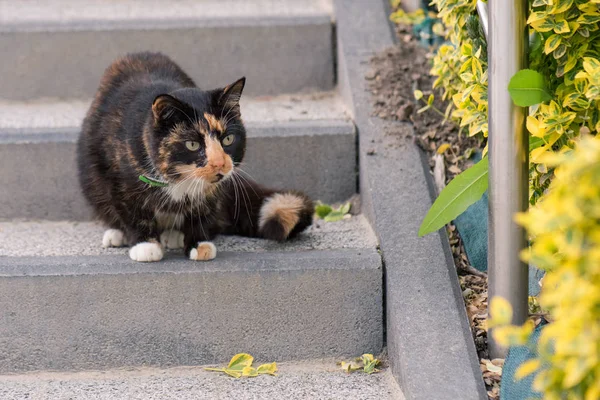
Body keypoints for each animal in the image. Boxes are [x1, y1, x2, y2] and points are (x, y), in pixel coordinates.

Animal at [78, 51, 314, 262]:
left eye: (228, 139)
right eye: (192, 144)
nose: (219, 163)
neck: (178, 178)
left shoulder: (214, 191)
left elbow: (202, 212)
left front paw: (198, 244)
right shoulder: (118, 180)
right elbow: (132, 211)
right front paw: (145, 246)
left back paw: (173, 234)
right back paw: (117, 234)